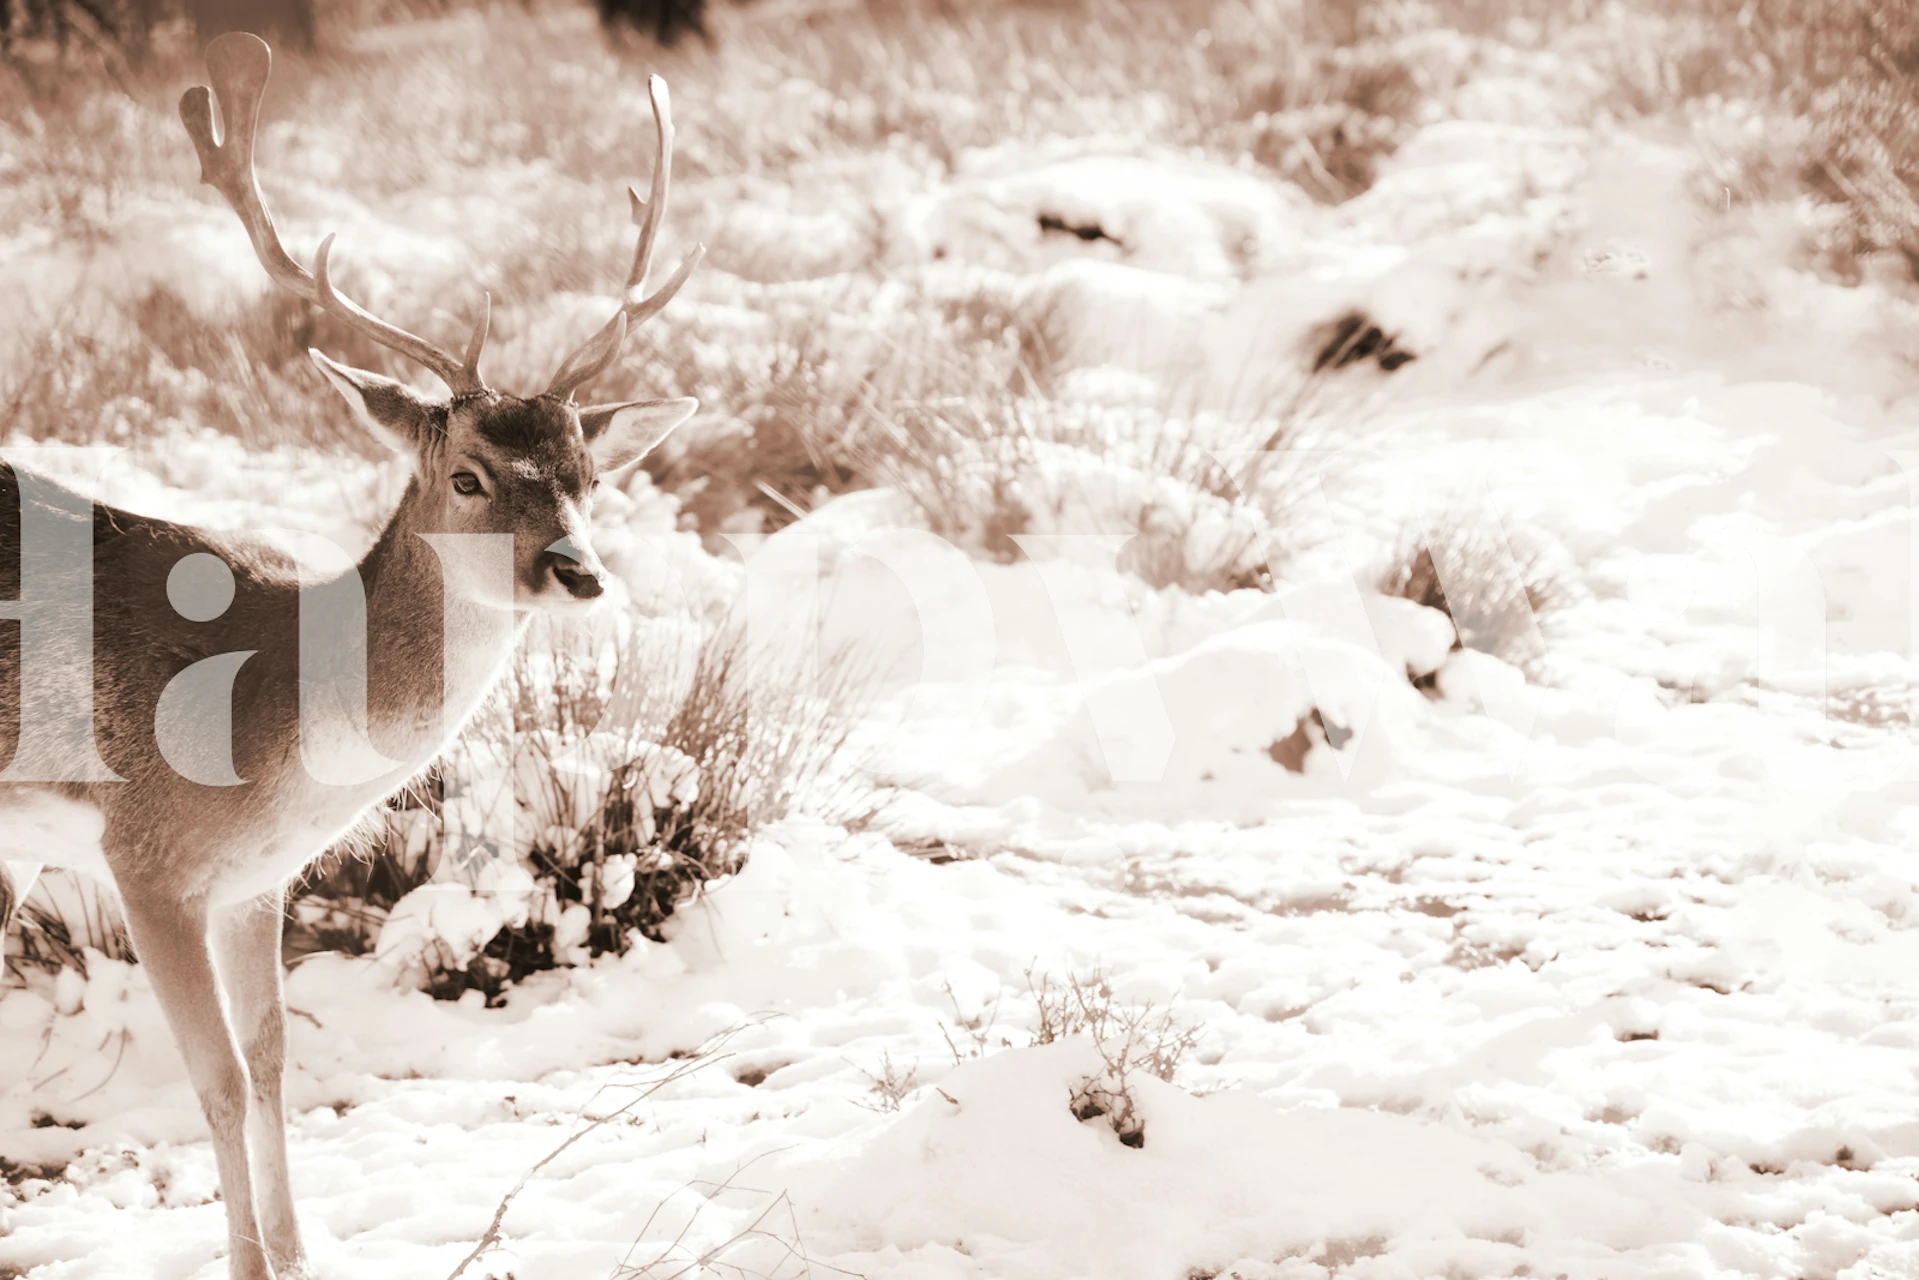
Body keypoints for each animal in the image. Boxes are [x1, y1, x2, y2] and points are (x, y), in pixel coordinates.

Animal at [0, 32, 704, 1280]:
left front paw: (293, 1252)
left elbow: (274, 1062)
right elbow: (219, 1080)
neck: (275, 717)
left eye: (590, 472)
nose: (578, 570)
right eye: (467, 473)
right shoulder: (146, 854)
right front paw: (243, 1260)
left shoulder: (255, 879)